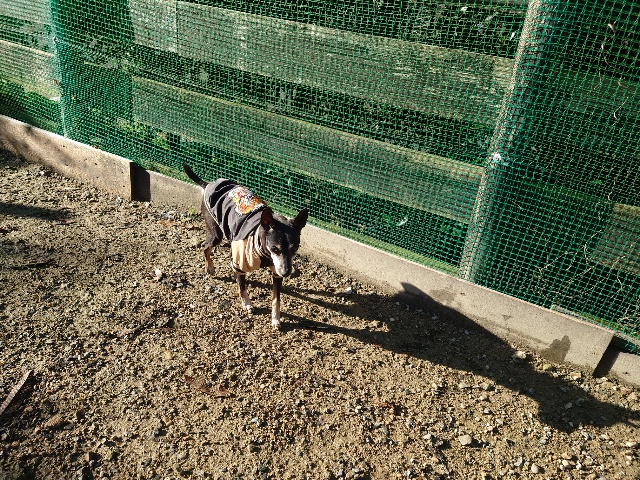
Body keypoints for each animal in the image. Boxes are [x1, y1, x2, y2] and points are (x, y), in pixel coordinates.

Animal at [183, 164, 308, 330]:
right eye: (275, 248)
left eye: (294, 250)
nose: (286, 272)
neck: (264, 252)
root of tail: (208, 184)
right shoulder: (239, 266)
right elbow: (242, 288)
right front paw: (247, 304)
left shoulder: (276, 272)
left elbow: (276, 299)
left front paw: (275, 319)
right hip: (216, 234)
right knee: (205, 246)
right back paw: (210, 267)